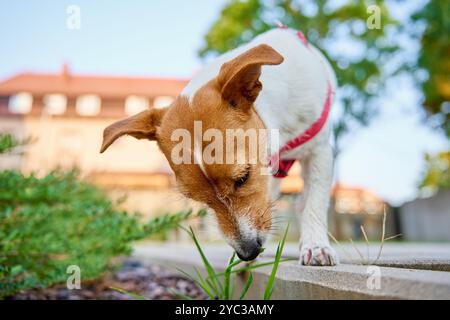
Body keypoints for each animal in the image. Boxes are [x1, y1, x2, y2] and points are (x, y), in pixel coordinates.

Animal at [99, 28, 338, 266]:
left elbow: (314, 202)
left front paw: (316, 246)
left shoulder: (319, 152)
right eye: (197, 198)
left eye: (243, 177)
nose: (248, 252)